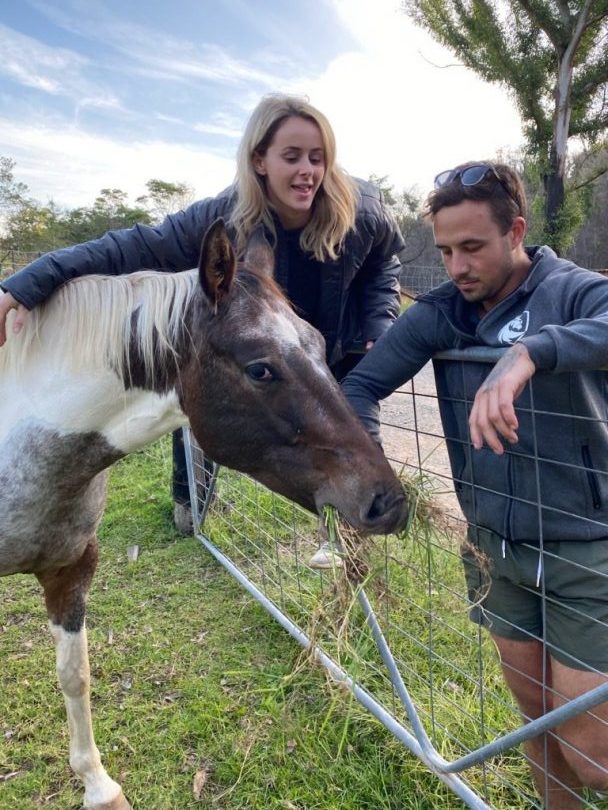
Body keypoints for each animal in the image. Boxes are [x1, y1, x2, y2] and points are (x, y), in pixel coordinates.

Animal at [0, 221, 408, 808]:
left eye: (318, 344)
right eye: (260, 368)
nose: (388, 502)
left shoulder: (71, 569)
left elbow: (75, 674)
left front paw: (99, 786)